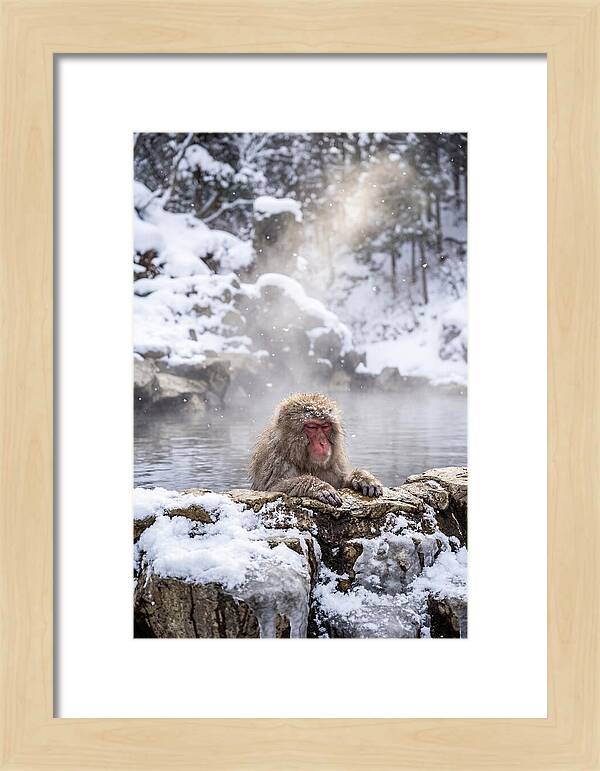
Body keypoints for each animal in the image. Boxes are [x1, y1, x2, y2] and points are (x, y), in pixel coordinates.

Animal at [249, 393, 383, 507]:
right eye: (312, 427)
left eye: (325, 426)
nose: (323, 443)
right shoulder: (275, 460)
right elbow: (272, 489)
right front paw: (319, 487)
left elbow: (341, 483)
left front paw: (362, 478)